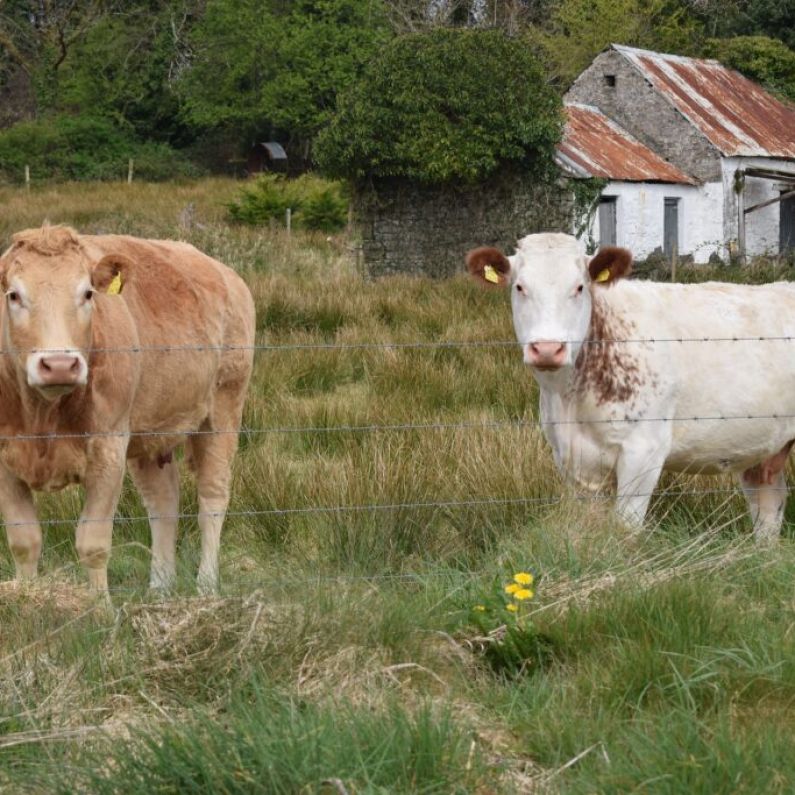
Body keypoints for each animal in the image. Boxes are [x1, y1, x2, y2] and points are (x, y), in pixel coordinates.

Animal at [0, 227, 255, 592]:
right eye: (13, 295)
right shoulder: (5, 460)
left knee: (213, 497)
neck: (42, 416)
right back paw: (160, 588)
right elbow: (24, 541)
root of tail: (224, 273)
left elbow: (92, 543)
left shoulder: (109, 450)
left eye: (88, 293)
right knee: (163, 501)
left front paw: (99, 605)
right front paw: (28, 598)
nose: (59, 365)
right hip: (151, 434)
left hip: (224, 408)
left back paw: (206, 585)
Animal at [470, 230, 795, 540]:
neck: (569, 398)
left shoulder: (645, 449)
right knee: (769, 503)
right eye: (519, 287)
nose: (548, 349)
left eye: (579, 287)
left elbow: (625, 527)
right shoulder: (571, 458)